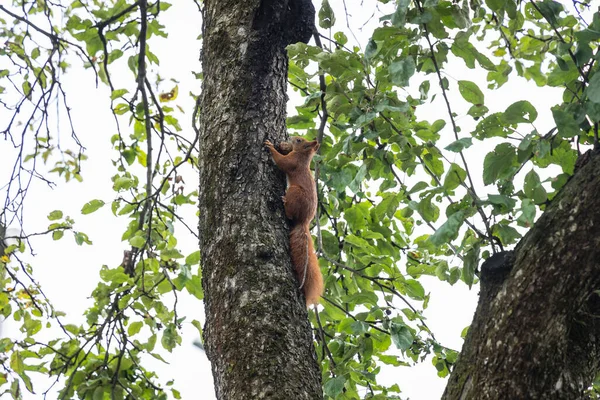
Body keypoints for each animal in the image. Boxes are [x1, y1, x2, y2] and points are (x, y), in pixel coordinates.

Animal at [264, 136, 324, 304]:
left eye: (299, 140)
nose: (291, 137)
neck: (303, 157)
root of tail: (304, 221)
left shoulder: (293, 162)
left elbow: (282, 162)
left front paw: (270, 147)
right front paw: (282, 145)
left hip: (294, 192)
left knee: (290, 214)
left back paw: (284, 203)